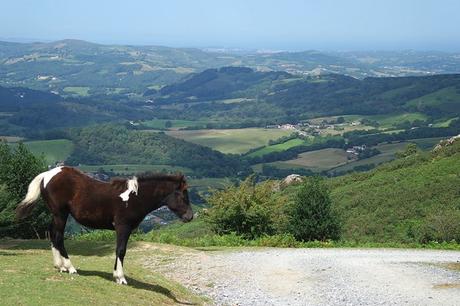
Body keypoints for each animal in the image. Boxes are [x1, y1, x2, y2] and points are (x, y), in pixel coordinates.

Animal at [15, 167, 192, 284]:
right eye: (182, 195)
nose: (190, 216)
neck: (134, 198)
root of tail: (47, 174)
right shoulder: (123, 227)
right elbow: (121, 250)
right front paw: (120, 278)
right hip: (60, 214)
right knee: (58, 237)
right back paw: (70, 268)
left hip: (57, 214)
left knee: (53, 235)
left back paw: (61, 267)